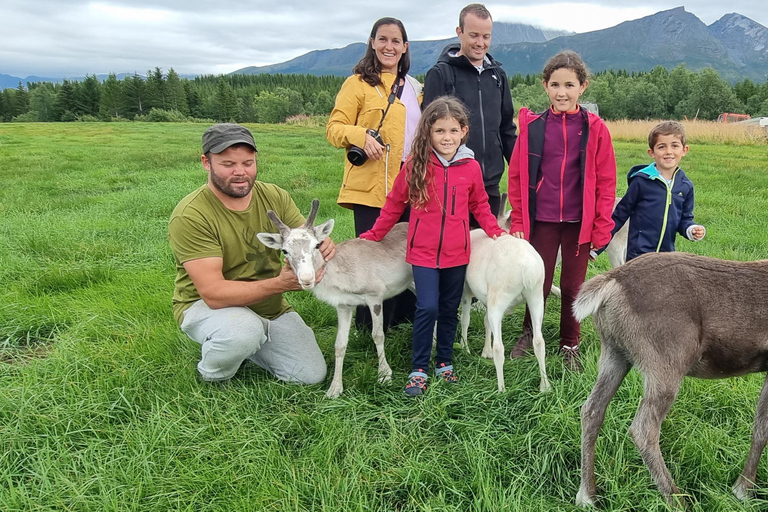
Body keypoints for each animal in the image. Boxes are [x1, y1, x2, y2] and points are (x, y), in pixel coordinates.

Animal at [257, 199, 414, 399]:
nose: (307, 278)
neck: (341, 272)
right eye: (284, 250)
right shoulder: (344, 305)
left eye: (317, 245)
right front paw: (334, 389)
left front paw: (385, 375)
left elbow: (378, 335)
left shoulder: (375, 297)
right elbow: (340, 344)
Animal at [572, 251, 768, 507]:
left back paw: (587, 495)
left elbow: (760, 427)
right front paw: (744, 489)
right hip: (666, 361)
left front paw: (744, 489)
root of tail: (611, 282)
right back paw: (677, 499)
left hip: (614, 352)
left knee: (591, 409)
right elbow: (764, 428)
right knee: (643, 428)